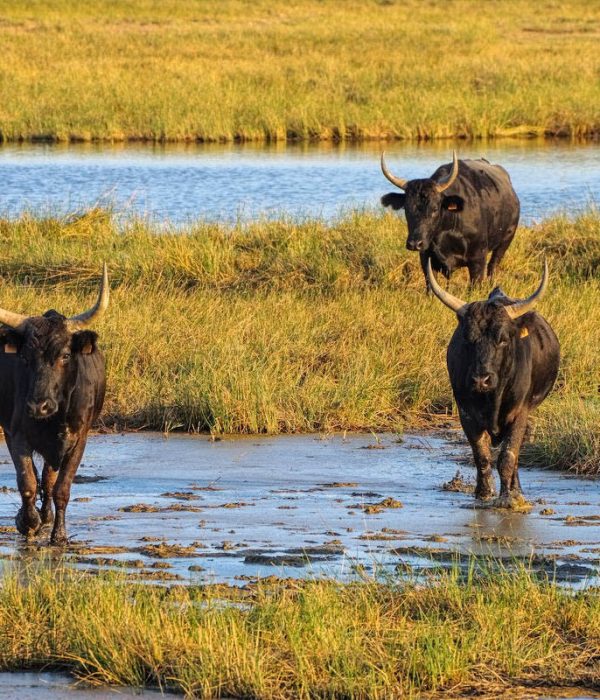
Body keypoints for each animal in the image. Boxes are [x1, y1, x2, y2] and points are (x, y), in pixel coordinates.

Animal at [0, 266, 108, 544]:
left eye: (65, 355)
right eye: (25, 357)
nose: (39, 407)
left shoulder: (78, 439)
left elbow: (61, 487)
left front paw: (59, 535)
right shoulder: (15, 434)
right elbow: (27, 482)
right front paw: (27, 522)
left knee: (49, 480)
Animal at [384, 153, 520, 288]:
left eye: (435, 209)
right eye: (406, 208)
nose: (414, 244)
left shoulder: (478, 259)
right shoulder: (425, 258)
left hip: (505, 240)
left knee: (493, 266)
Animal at [428, 260, 560, 506]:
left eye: (503, 339)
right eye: (468, 338)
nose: (481, 379)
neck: (493, 396)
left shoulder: (520, 414)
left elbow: (507, 457)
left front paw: (508, 497)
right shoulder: (467, 414)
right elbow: (482, 456)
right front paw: (483, 493)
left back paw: (516, 490)